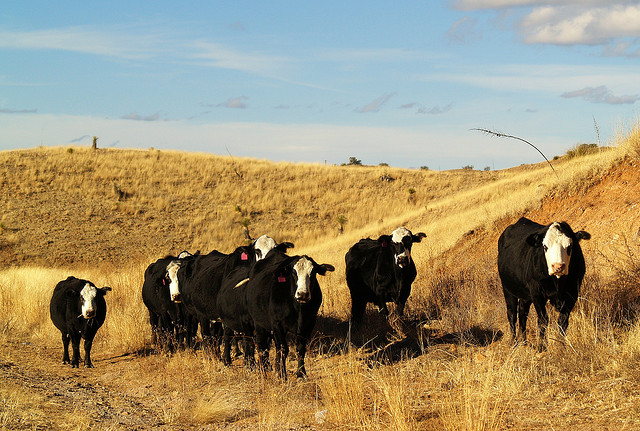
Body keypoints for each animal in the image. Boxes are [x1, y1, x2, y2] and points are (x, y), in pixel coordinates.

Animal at [244, 251, 336, 380]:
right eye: (294, 272)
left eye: (313, 273)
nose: (302, 294)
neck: (299, 308)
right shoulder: (277, 324)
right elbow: (283, 349)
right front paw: (282, 375)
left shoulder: (308, 324)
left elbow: (300, 349)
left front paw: (301, 374)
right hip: (259, 324)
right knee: (261, 345)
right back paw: (263, 369)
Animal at [498, 218, 592, 352]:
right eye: (545, 246)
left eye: (570, 245)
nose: (558, 266)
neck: (558, 282)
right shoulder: (537, 293)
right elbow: (543, 320)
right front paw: (542, 347)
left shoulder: (573, 293)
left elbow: (563, 321)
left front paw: (561, 345)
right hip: (508, 289)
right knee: (512, 315)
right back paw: (514, 343)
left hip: (525, 296)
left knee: (522, 314)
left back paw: (524, 342)